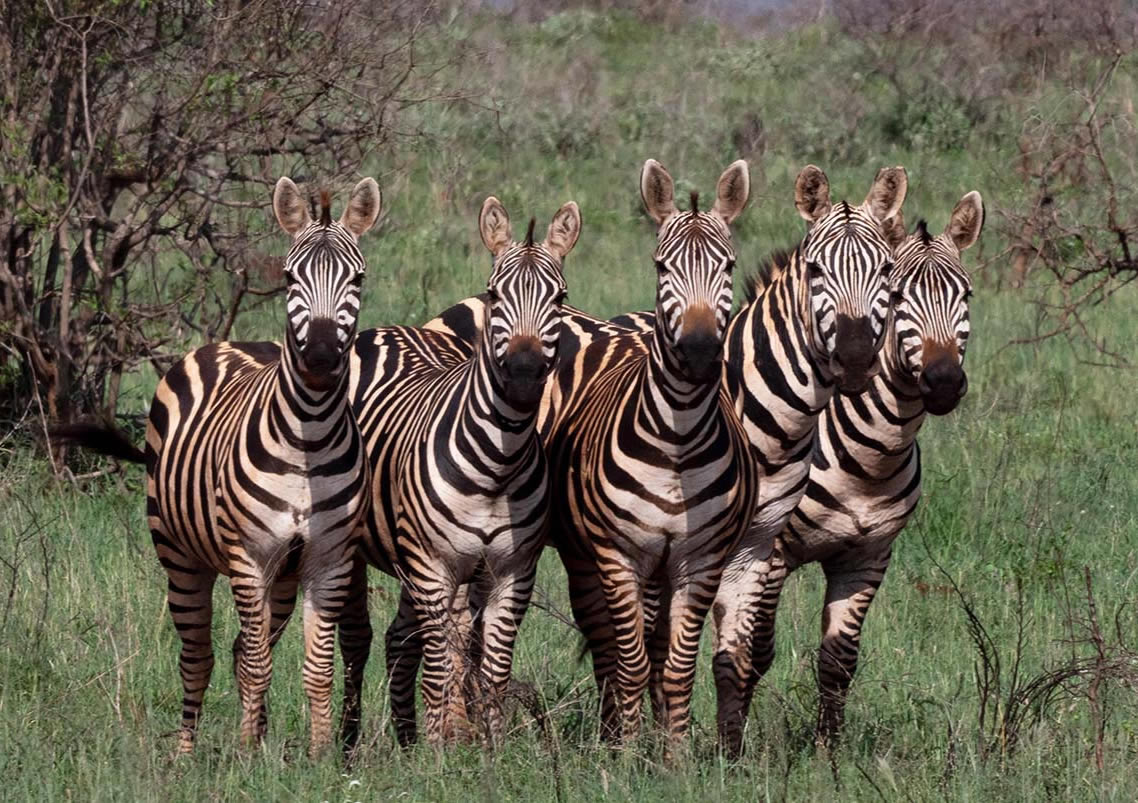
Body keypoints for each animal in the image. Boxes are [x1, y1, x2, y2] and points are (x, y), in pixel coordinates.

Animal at [50, 176, 382, 755]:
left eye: (358, 278)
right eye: (290, 276)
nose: (320, 358)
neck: (310, 437)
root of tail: (225, 343)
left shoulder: (328, 561)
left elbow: (315, 668)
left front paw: (318, 756)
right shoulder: (249, 557)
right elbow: (256, 663)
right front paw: (248, 756)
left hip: (283, 576)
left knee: (237, 649)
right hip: (181, 556)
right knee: (199, 657)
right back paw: (187, 752)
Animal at [334, 196, 582, 746]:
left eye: (560, 297)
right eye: (493, 294)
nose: (524, 376)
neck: (497, 465)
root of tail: (389, 329)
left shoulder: (513, 572)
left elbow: (493, 667)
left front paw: (490, 743)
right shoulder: (436, 567)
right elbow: (444, 663)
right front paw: (446, 744)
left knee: (401, 638)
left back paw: (406, 737)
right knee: (359, 638)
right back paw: (350, 739)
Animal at [546, 161, 760, 750]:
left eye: (729, 265)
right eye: (663, 265)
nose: (700, 351)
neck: (677, 441)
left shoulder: (700, 561)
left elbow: (677, 666)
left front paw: (675, 754)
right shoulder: (620, 555)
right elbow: (631, 663)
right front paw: (623, 752)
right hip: (589, 557)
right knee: (608, 644)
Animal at [751, 191, 983, 741]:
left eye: (966, 295)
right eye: (896, 297)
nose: (944, 381)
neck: (871, 462)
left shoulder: (867, 557)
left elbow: (839, 661)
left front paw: (827, 750)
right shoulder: (772, 554)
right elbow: (755, 651)